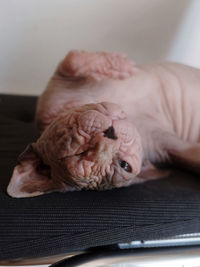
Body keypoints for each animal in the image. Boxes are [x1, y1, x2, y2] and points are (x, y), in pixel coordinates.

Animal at [7, 50, 200, 198]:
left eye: (124, 165)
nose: (111, 133)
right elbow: (71, 60)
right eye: (80, 153)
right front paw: (118, 64)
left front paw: (119, 65)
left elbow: (72, 61)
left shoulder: (51, 98)